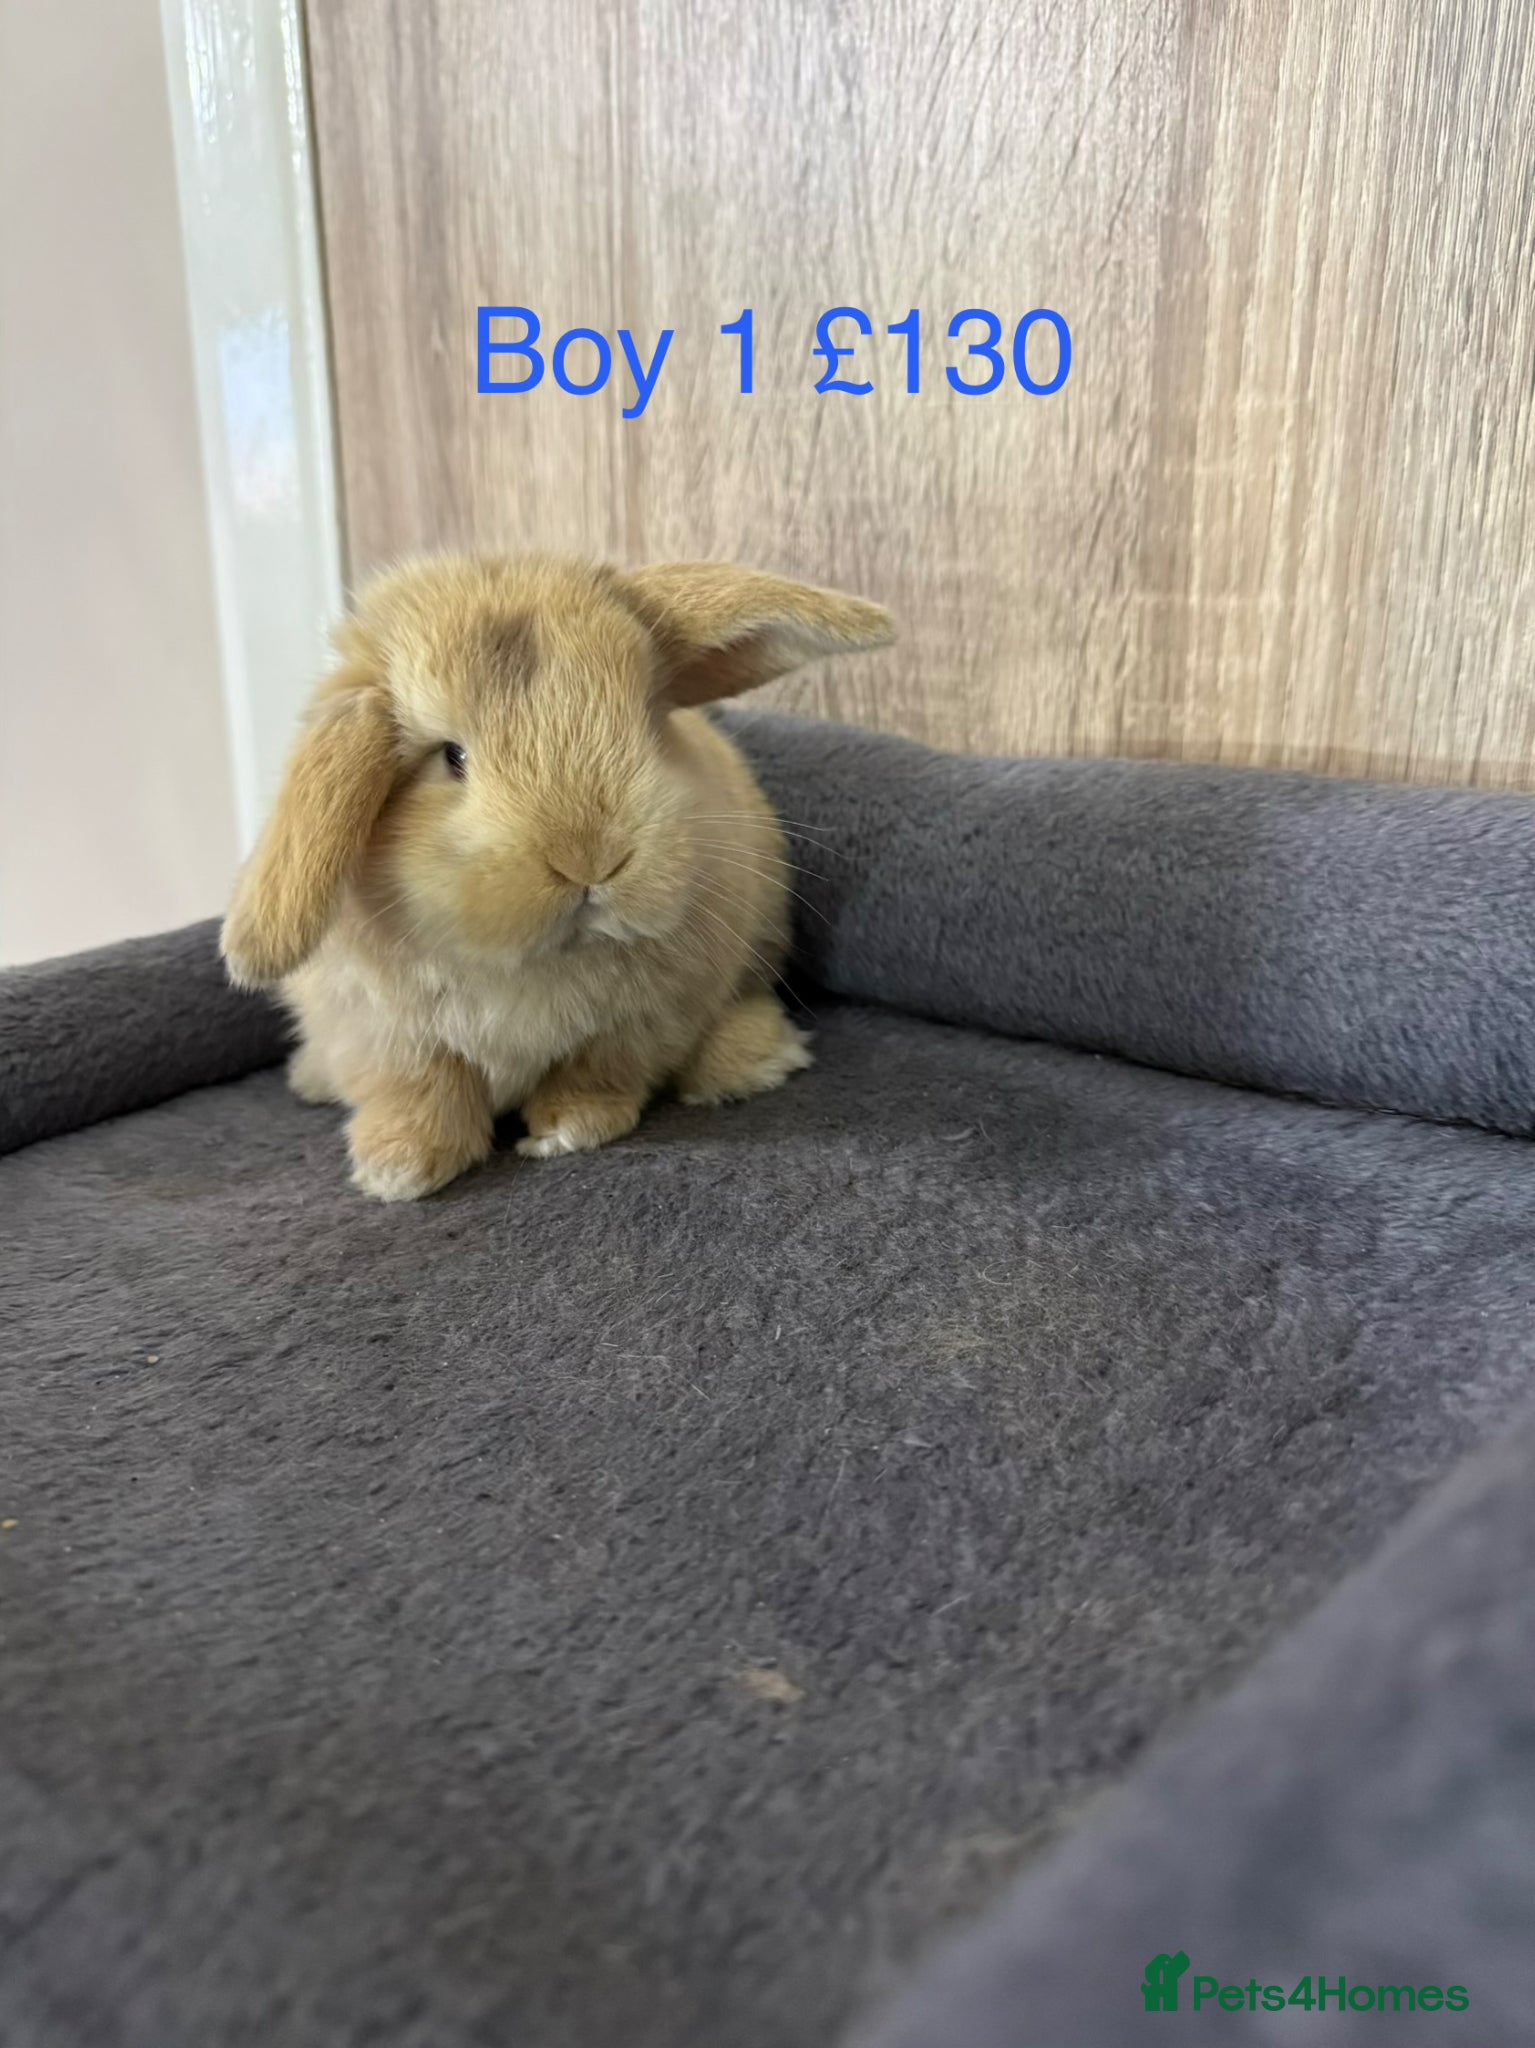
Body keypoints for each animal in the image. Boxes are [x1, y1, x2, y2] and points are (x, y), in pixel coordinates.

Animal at [221, 554, 893, 1200]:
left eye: (650, 722)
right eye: (452, 757)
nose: (591, 859)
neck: (538, 961)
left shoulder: (640, 1025)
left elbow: (594, 1076)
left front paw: (565, 1133)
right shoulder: (389, 1039)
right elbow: (423, 1093)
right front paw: (400, 1171)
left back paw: (755, 1060)